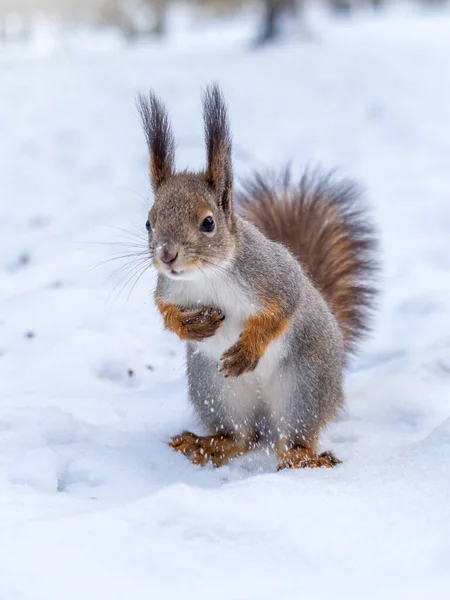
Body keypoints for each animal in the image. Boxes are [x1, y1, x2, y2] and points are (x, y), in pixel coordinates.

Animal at [139, 85, 378, 468]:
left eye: (208, 223)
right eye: (149, 222)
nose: (167, 255)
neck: (206, 275)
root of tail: (267, 420)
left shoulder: (272, 275)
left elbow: (283, 308)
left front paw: (247, 350)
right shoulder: (169, 287)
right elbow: (165, 311)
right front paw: (190, 326)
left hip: (303, 388)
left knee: (291, 439)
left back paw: (303, 458)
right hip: (217, 389)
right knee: (240, 437)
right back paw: (208, 445)